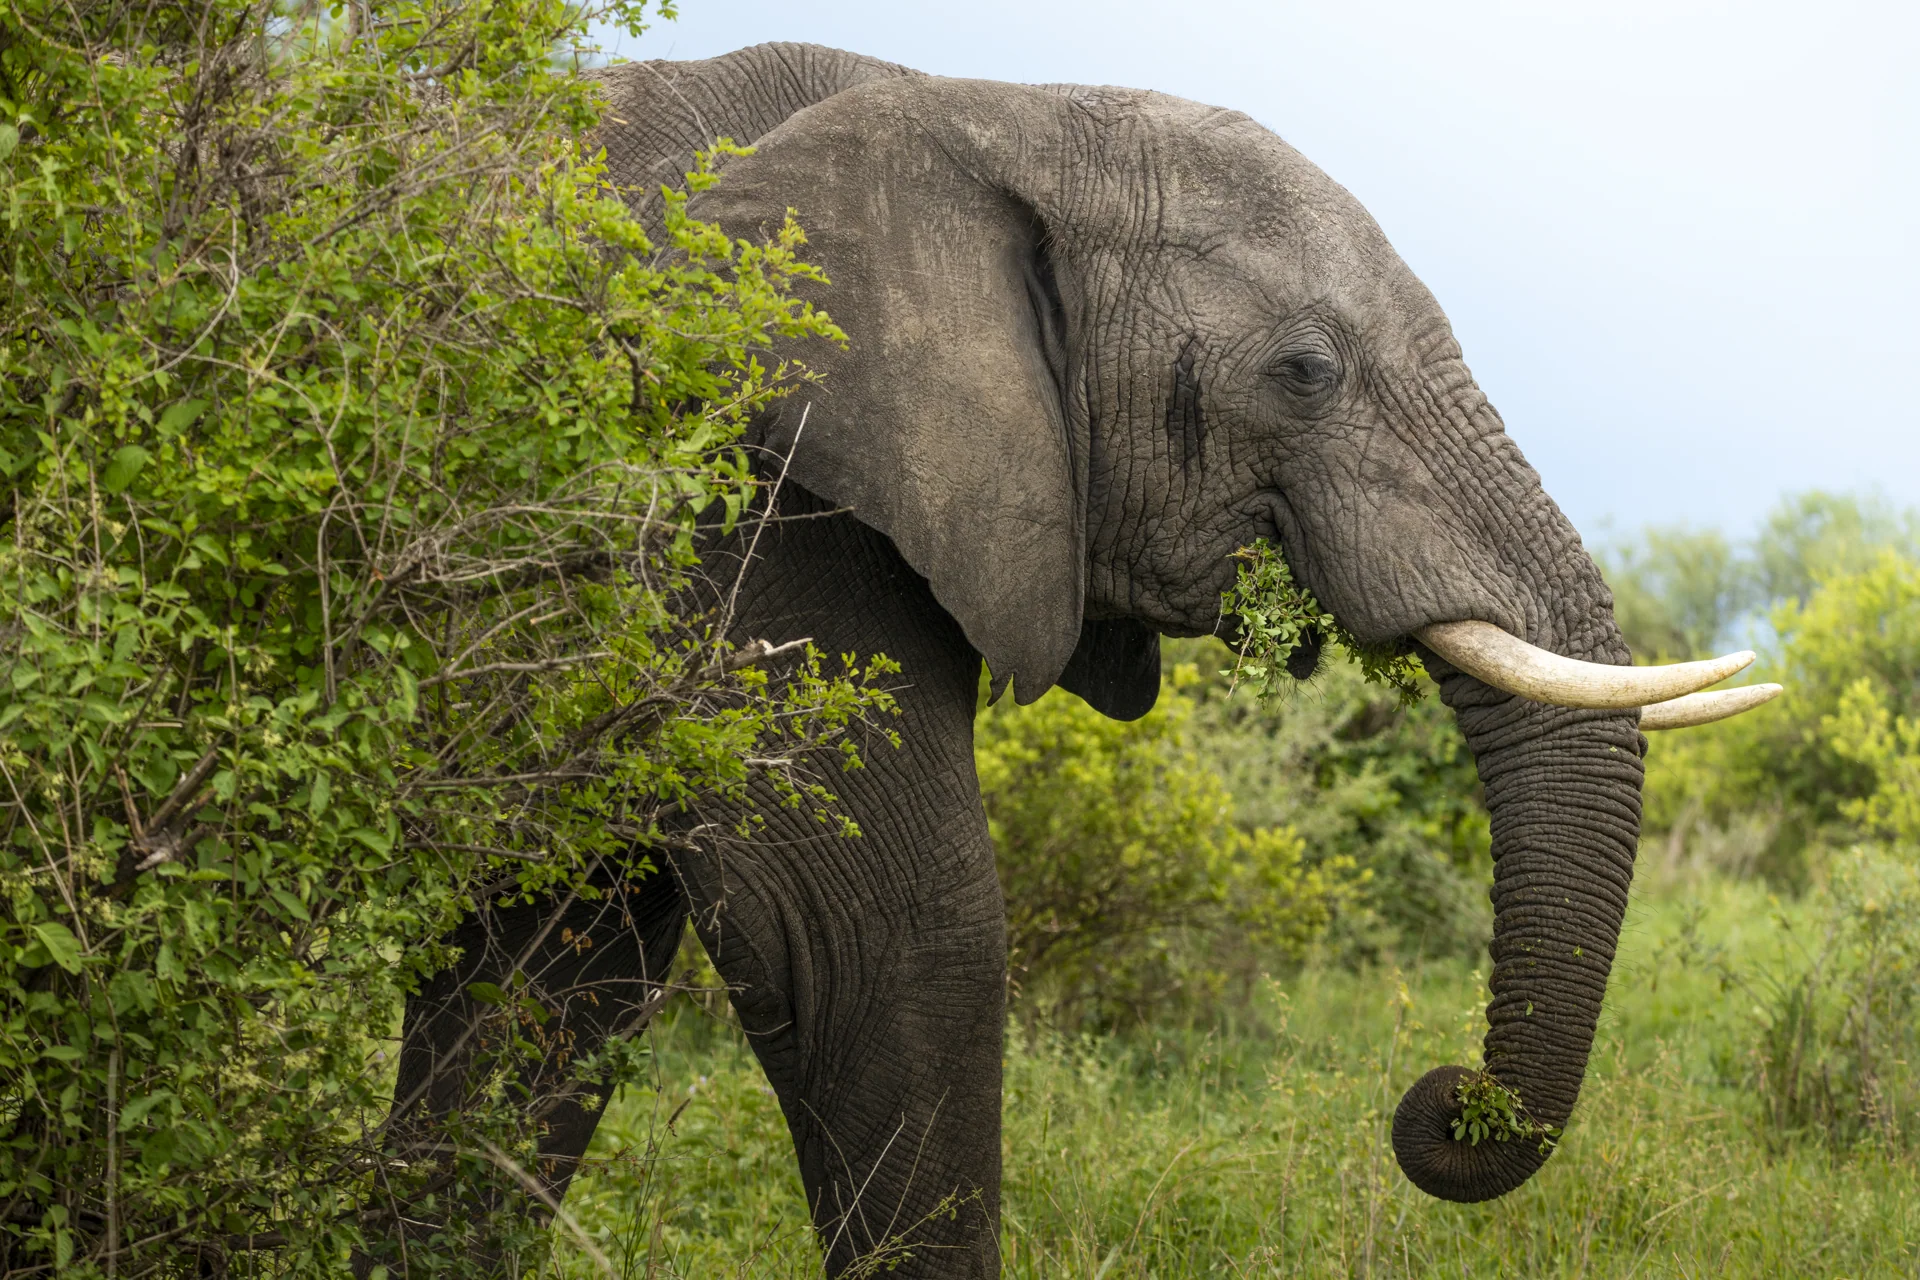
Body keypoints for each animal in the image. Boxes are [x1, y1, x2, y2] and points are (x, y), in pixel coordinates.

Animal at [370, 42, 1778, 1277]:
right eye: (1307, 371)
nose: (1443, 1099)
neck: (977, 109)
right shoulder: (740, 486)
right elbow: (877, 930)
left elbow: (549, 968)